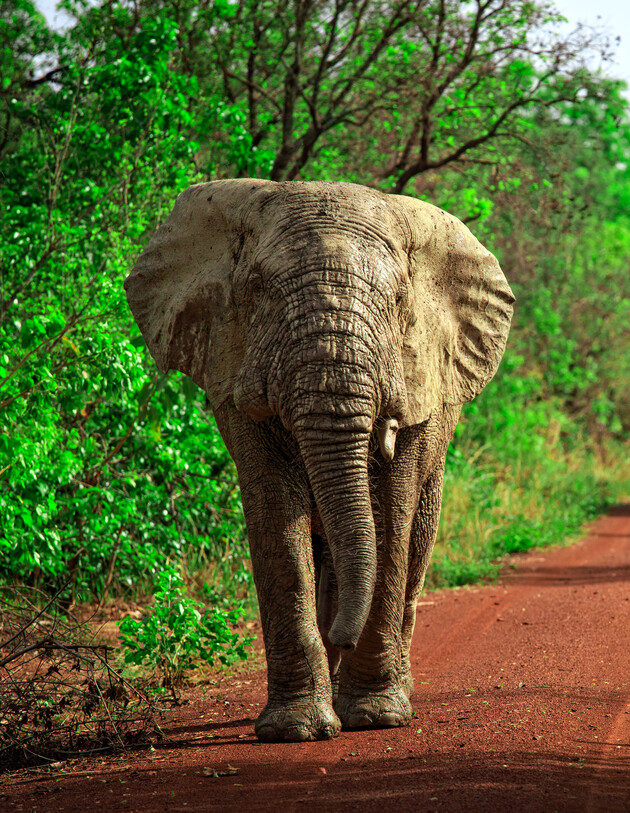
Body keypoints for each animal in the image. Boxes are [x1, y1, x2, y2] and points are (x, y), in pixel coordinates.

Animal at [124, 180, 514, 742]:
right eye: (258, 287)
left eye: (399, 300)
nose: (343, 636)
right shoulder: (231, 364)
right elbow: (277, 518)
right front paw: (296, 729)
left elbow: (389, 517)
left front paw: (375, 718)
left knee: (414, 542)